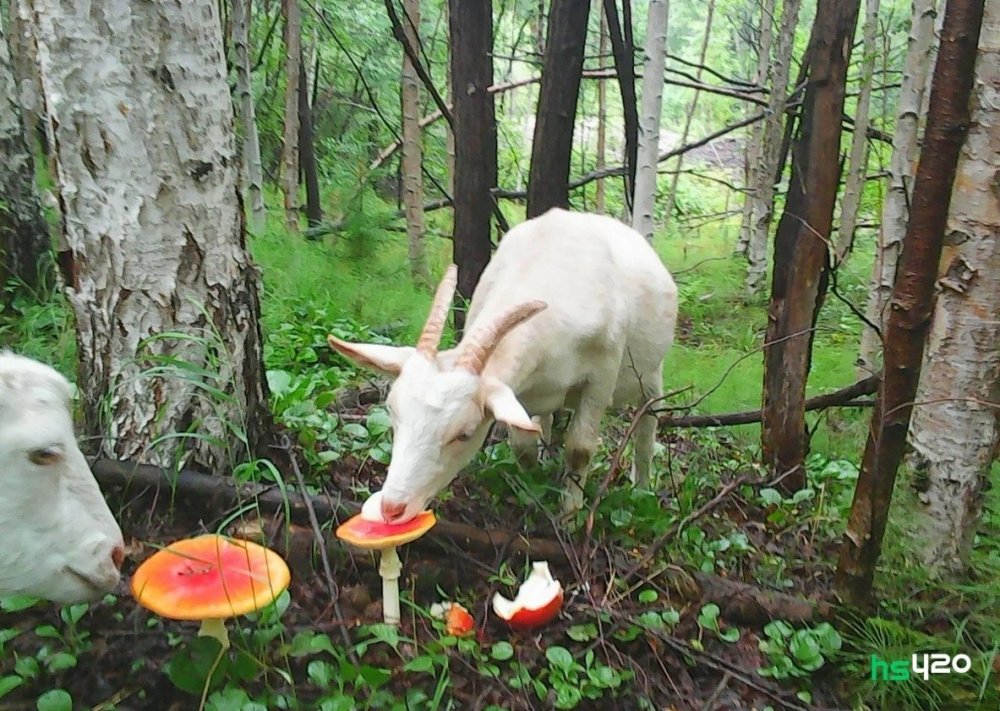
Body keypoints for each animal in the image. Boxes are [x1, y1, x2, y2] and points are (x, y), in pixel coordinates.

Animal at [329, 208, 678, 522]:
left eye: (464, 434)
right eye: (393, 414)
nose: (391, 508)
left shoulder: (602, 375)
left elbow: (580, 448)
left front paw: (570, 515)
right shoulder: (517, 391)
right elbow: (522, 446)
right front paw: (533, 491)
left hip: (651, 374)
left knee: (647, 423)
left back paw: (641, 489)